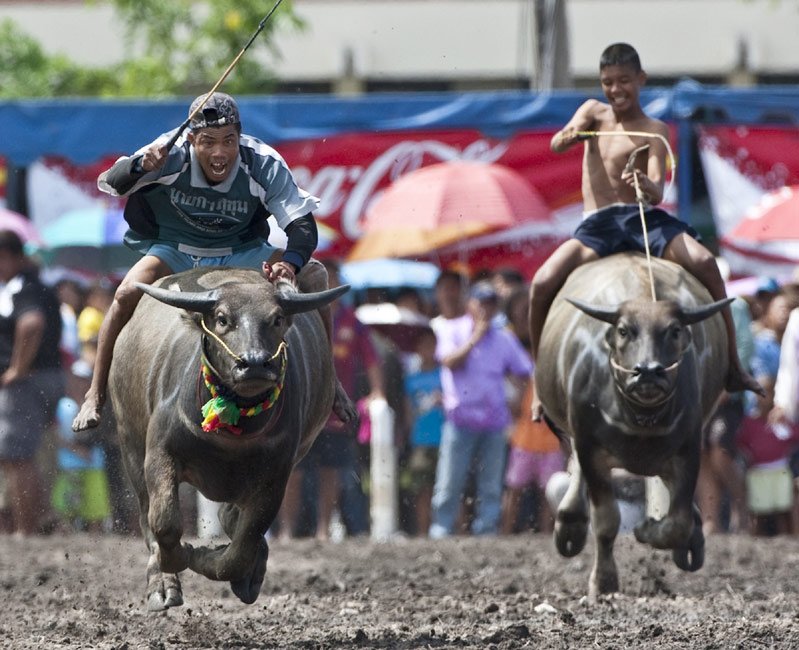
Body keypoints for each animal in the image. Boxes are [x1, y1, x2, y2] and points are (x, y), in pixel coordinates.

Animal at [108, 264, 346, 608]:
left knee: (234, 521)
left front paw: (208, 559)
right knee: (146, 514)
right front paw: (180, 560)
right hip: (129, 442)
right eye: (222, 318)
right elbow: (165, 522)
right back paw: (162, 585)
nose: (255, 363)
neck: (233, 434)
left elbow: (241, 548)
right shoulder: (159, 453)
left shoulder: (276, 475)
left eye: (276, 318)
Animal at [536, 251, 736, 596]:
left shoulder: (689, 447)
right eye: (624, 330)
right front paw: (603, 582)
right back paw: (570, 525)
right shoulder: (590, 446)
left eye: (674, 330)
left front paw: (648, 529)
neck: (640, 418)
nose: (648, 371)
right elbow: (606, 521)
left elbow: (677, 522)